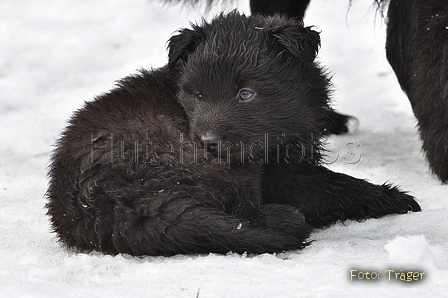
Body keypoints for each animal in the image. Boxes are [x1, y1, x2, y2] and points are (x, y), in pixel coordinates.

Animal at [46, 12, 420, 256]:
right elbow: (332, 186)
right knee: (246, 211)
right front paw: (395, 197)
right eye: (197, 95)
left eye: (246, 94)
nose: (208, 143)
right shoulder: (280, 176)